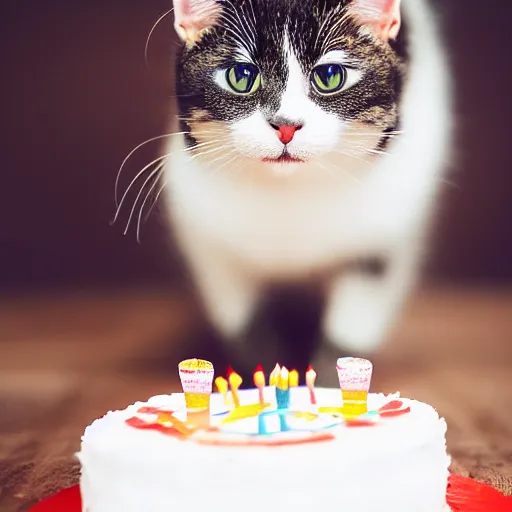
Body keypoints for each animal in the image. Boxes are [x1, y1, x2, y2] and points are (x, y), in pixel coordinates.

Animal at [162, 0, 450, 370]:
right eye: (240, 77)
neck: (292, 195)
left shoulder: (386, 238)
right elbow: (247, 324)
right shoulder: (205, 237)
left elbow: (349, 332)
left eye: (330, 77)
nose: (285, 126)